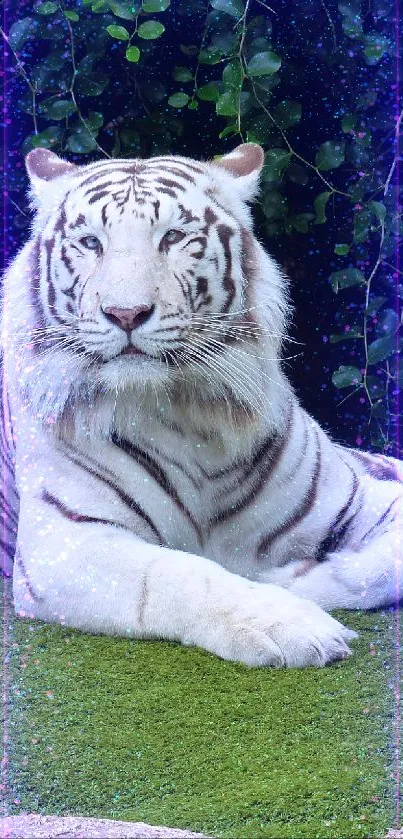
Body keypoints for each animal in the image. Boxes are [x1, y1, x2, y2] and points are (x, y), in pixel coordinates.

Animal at [1, 144, 402, 668]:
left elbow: (387, 564)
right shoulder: (65, 542)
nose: (125, 313)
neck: (190, 416)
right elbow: (179, 574)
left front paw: (295, 577)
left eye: (172, 237)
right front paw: (293, 621)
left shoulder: (368, 495)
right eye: (91, 243)